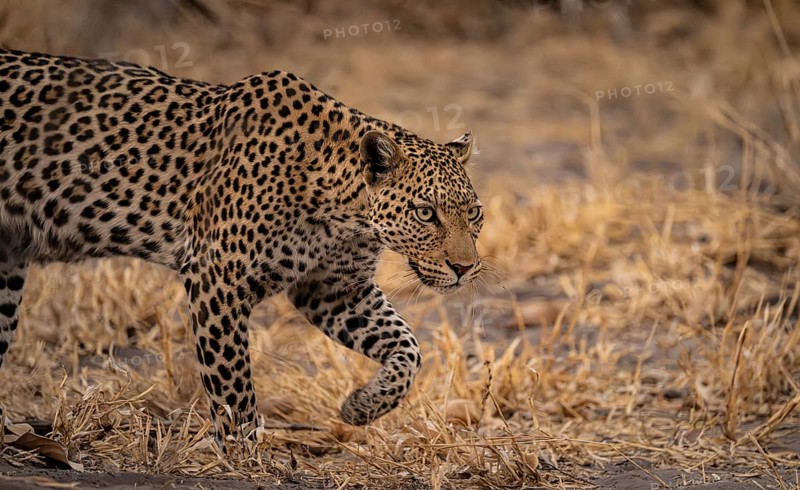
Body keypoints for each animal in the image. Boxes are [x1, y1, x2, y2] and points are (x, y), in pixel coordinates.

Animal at [0, 48, 483, 441]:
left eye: (474, 212)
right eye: (425, 212)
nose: (464, 268)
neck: (347, 212)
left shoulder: (335, 290)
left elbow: (409, 347)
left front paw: (362, 407)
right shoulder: (218, 278)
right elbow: (232, 384)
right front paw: (243, 455)